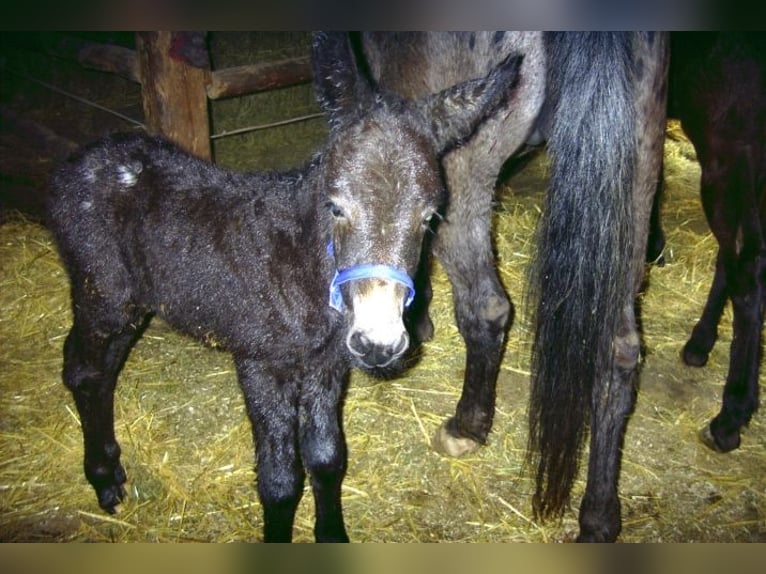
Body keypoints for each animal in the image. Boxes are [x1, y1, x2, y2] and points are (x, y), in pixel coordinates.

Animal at [46, 32, 520, 544]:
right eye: (335, 206)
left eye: (429, 217)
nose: (378, 344)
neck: (301, 268)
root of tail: (87, 158)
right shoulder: (261, 365)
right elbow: (278, 482)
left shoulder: (327, 366)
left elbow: (327, 458)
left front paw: (331, 533)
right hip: (101, 293)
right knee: (83, 370)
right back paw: (103, 479)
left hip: (133, 303)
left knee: (104, 370)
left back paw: (112, 466)